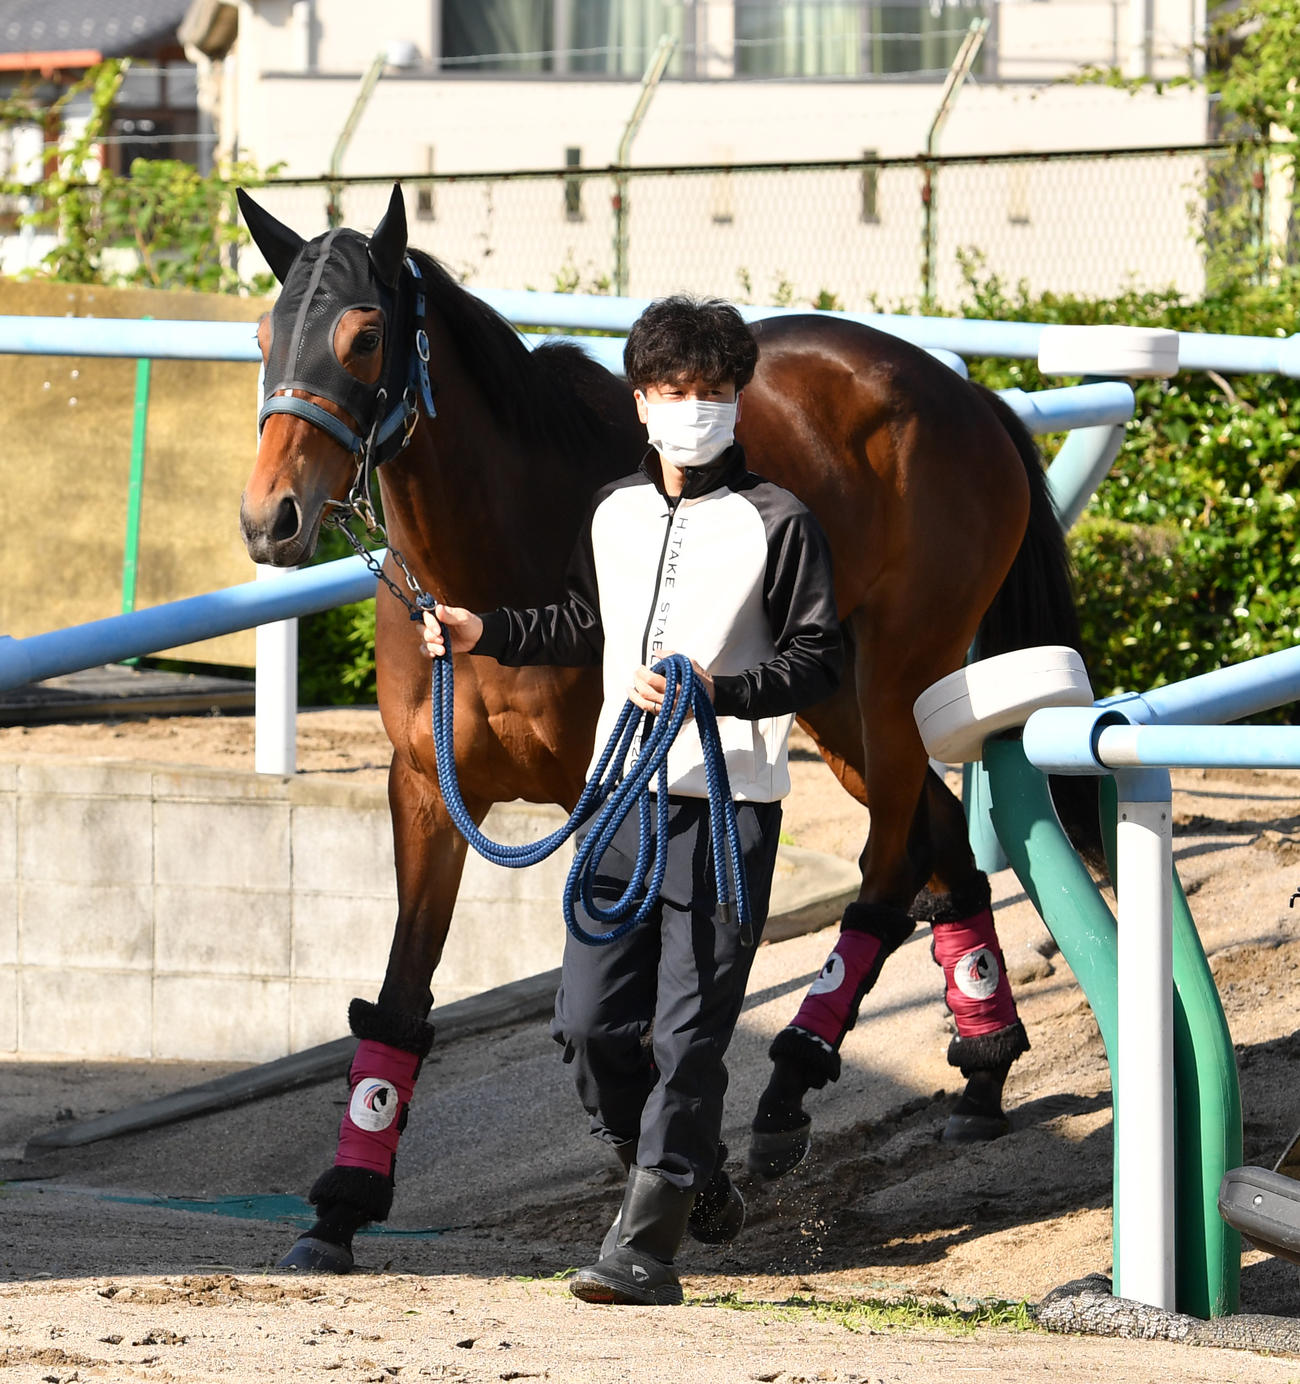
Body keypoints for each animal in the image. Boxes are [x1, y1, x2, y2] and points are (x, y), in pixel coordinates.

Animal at [236, 183, 1087, 1272]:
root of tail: (965, 397)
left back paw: (792, 1078)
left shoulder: (612, 799)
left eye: (366, 336)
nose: (272, 518)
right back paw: (981, 1061)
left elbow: (619, 1019)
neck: (502, 551)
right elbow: (401, 995)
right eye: (264, 337)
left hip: (897, 672)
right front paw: (340, 1205)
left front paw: (695, 1178)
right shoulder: (424, 790)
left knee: (891, 857)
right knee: (935, 830)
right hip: (826, 695)